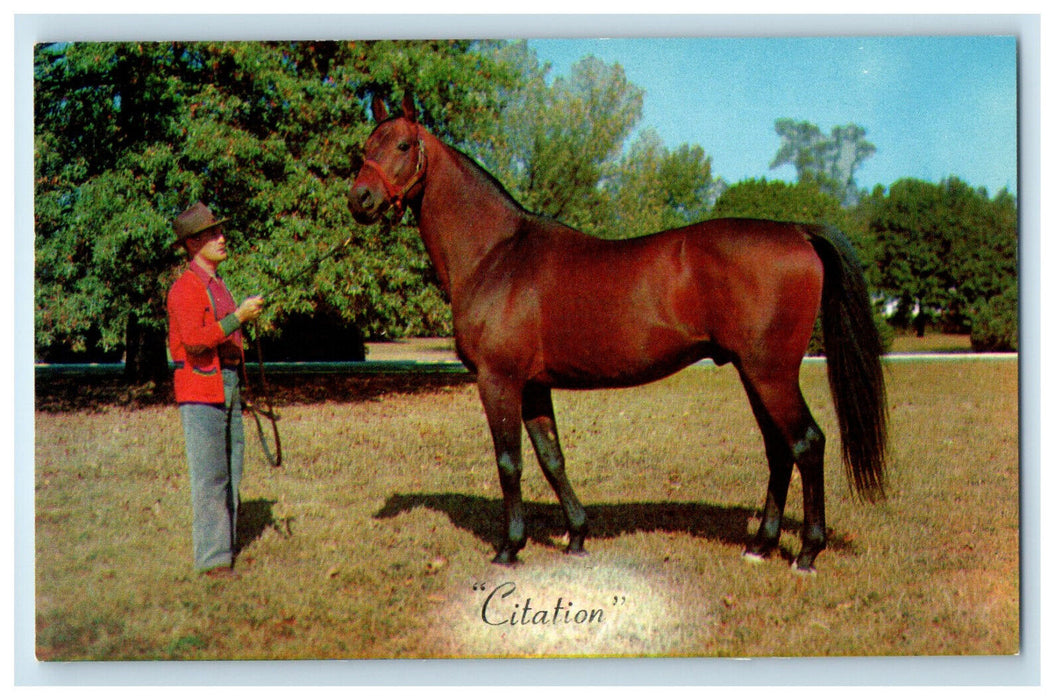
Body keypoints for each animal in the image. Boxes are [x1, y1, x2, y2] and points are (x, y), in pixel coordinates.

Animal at [348, 94, 887, 573]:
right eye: (365, 146)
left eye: (402, 145)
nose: (359, 200)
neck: (497, 254)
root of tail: (796, 231)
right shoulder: (534, 386)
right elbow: (552, 458)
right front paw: (576, 537)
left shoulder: (498, 380)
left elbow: (509, 461)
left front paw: (510, 548)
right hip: (754, 373)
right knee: (779, 450)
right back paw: (760, 545)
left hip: (771, 373)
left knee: (807, 444)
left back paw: (807, 553)